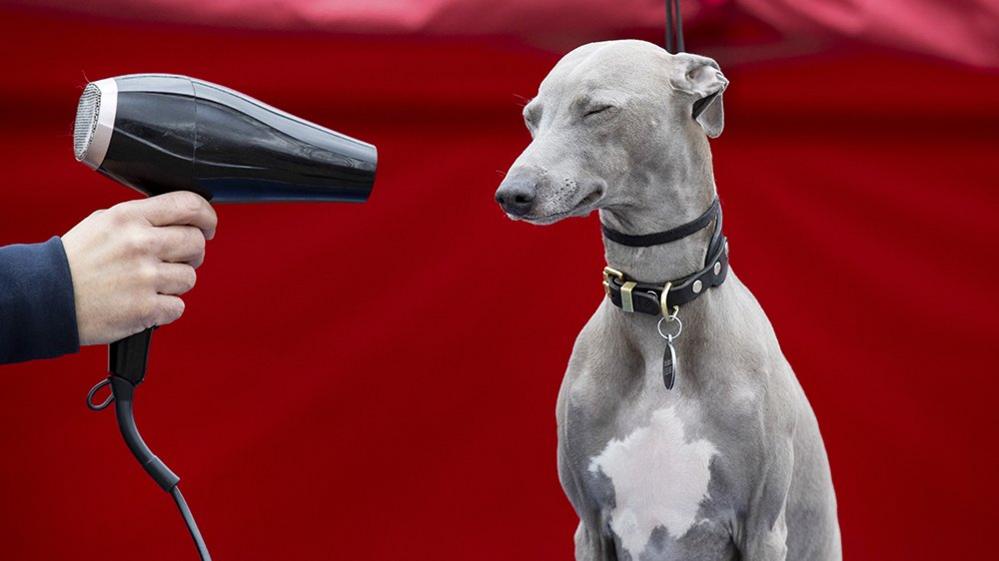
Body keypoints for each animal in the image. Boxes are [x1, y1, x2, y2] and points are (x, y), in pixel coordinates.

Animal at [496, 40, 840, 560]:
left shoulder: (762, 527)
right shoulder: (590, 526)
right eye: (530, 118)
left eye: (598, 109)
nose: (512, 194)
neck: (659, 301)